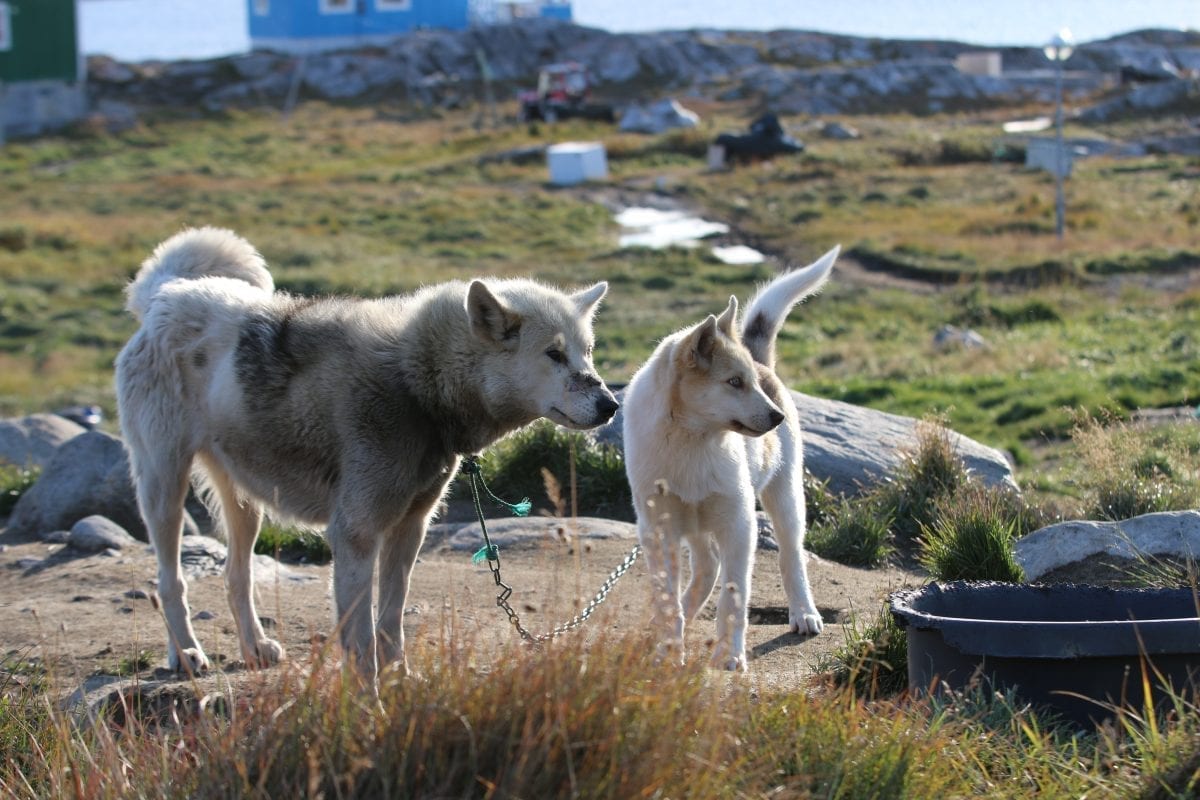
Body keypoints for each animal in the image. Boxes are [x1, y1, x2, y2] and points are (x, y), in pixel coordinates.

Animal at [115, 227, 614, 686]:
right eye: (554, 354)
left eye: (587, 352)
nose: (610, 405)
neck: (416, 384)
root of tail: (167, 292)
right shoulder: (355, 534)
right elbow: (361, 640)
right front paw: (368, 704)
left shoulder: (409, 530)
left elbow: (390, 622)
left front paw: (400, 685)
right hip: (164, 489)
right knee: (169, 580)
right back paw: (185, 653)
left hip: (245, 504)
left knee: (235, 577)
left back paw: (253, 648)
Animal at [624, 247, 840, 671]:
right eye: (734, 383)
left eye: (750, 383)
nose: (776, 418)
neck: (691, 440)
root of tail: (762, 360)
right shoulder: (657, 529)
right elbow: (667, 599)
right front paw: (668, 650)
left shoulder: (739, 525)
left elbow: (734, 597)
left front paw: (729, 654)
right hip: (695, 522)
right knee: (706, 568)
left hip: (785, 499)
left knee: (792, 558)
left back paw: (804, 613)